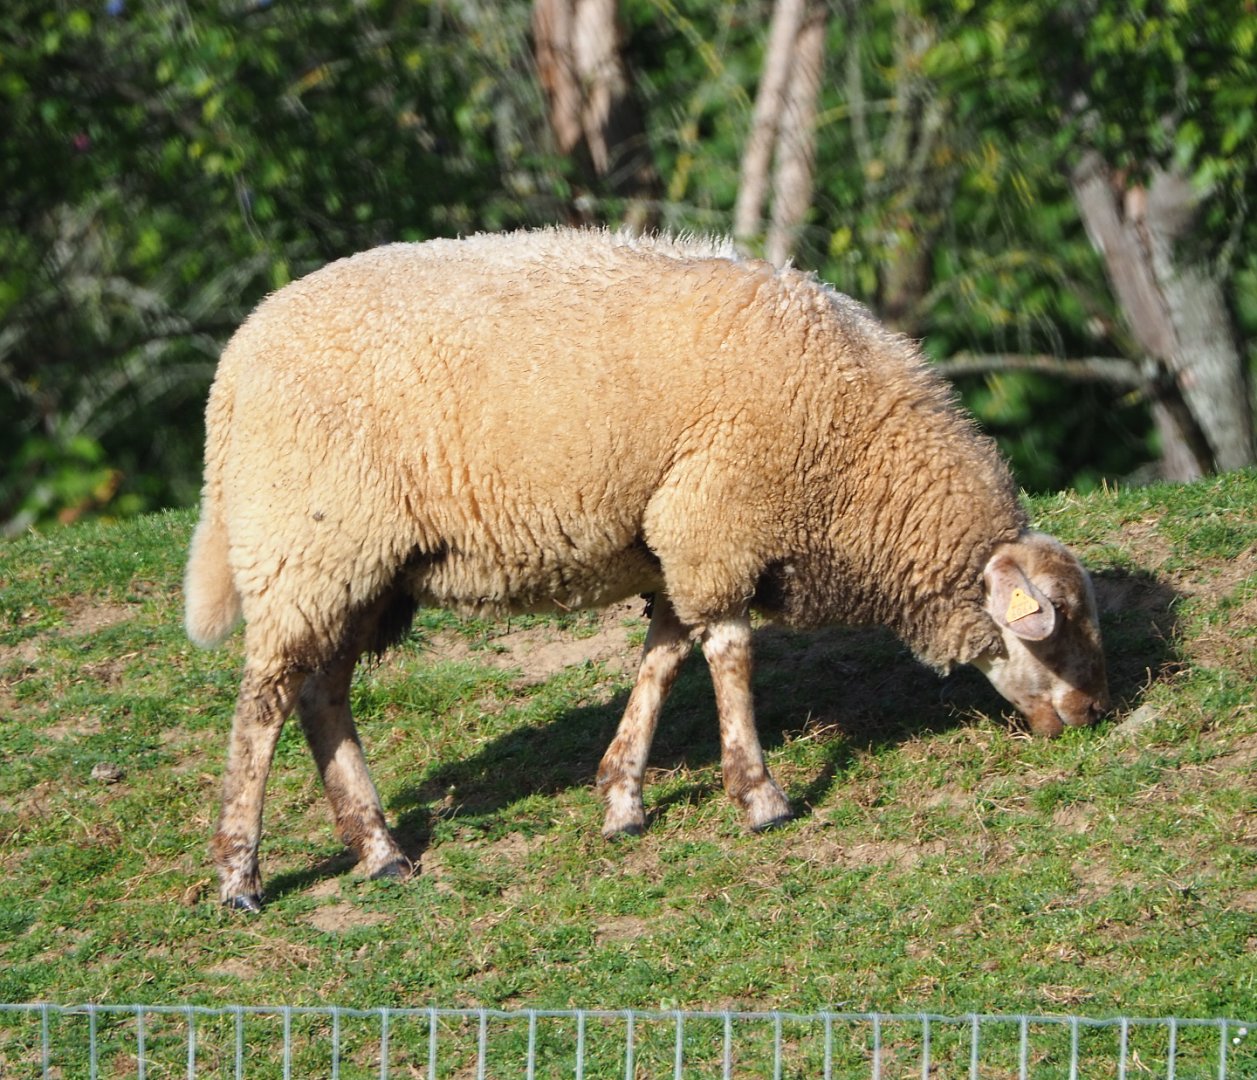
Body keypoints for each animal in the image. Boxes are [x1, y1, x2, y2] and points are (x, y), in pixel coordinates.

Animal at [185, 227, 1109, 911]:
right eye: (1055, 625)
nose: (1090, 715)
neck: (860, 458)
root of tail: (232, 369)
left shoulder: (676, 541)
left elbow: (662, 661)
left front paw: (622, 800)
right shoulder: (716, 520)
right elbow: (730, 656)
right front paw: (760, 798)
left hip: (361, 574)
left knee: (321, 696)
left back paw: (377, 848)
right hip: (308, 546)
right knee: (263, 705)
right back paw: (240, 874)